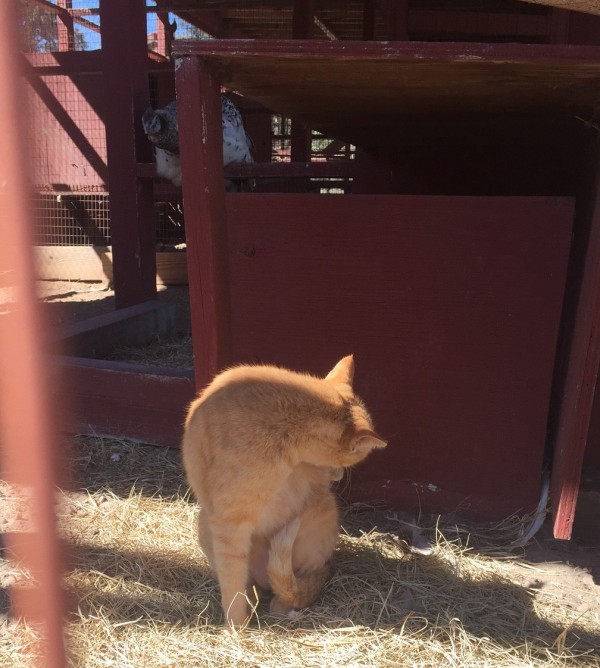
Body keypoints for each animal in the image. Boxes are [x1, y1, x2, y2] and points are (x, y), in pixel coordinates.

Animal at [183, 354, 386, 628]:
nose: (340, 476)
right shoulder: (230, 524)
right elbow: (232, 583)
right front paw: (236, 627)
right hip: (205, 522)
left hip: (321, 509)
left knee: (295, 585)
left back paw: (283, 603)